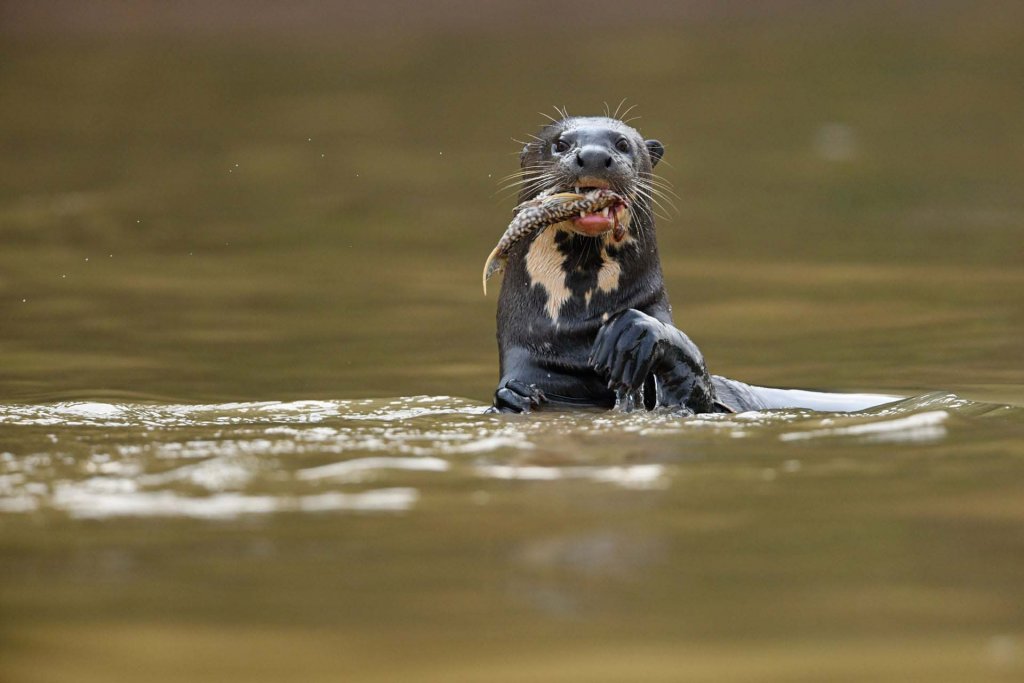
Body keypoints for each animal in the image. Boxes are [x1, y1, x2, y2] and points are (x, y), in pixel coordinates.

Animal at [491, 116, 892, 413]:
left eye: (622, 144)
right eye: (560, 143)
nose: (592, 156)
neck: (580, 342)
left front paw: (636, 332)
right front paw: (517, 396)